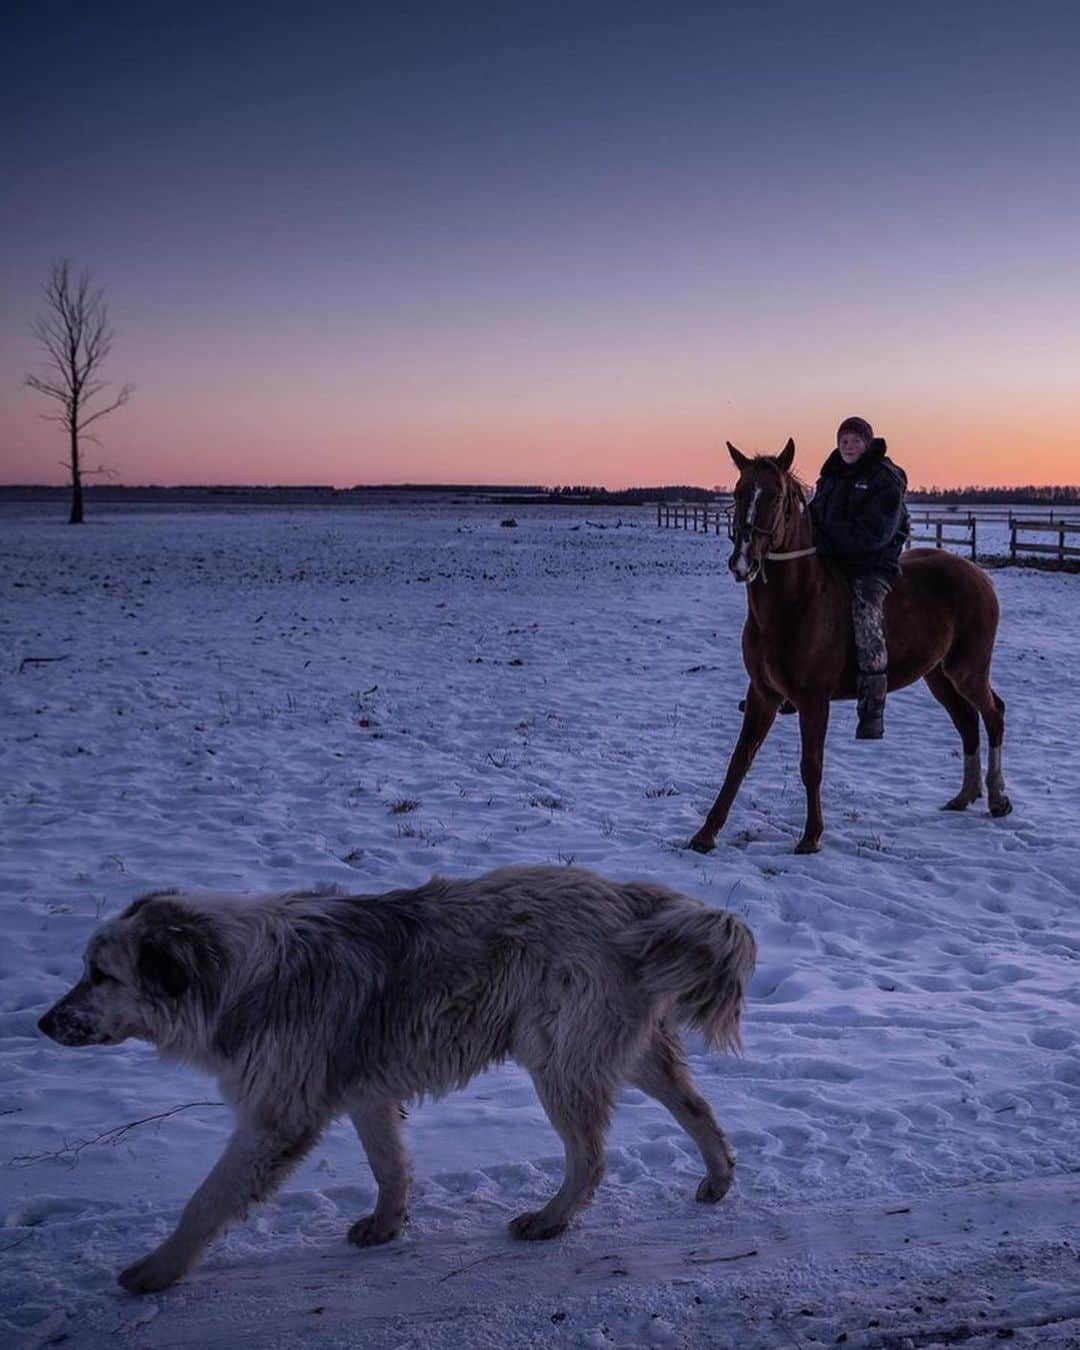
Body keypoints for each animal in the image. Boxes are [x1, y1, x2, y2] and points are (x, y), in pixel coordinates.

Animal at [691, 442, 1015, 853]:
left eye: (777, 496)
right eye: (737, 493)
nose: (742, 561)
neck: (794, 603)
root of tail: (978, 576)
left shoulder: (814, 698)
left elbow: (811, 766)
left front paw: (811, 837)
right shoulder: (762, 693)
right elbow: (739, 760)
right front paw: (705, 834)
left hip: (967, 670)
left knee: (993, 715)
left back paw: (997, 799)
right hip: (938, 676)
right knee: (967, 722)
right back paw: (964, 796)